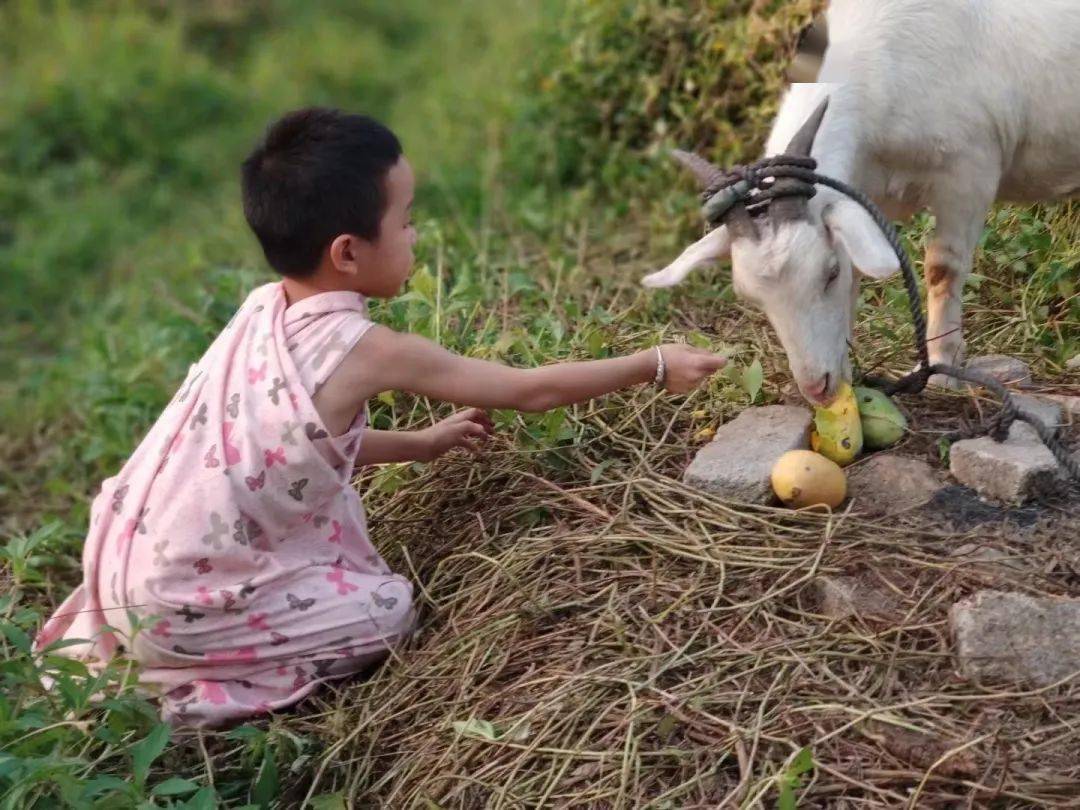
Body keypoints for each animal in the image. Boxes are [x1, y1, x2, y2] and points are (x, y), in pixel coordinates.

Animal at [643, 0, 1080, 406]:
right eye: (751, 298)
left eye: (829, 273)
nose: (816, 388)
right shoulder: (866, 188)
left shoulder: (969, 169)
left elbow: (943, 268)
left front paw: (942, 370)